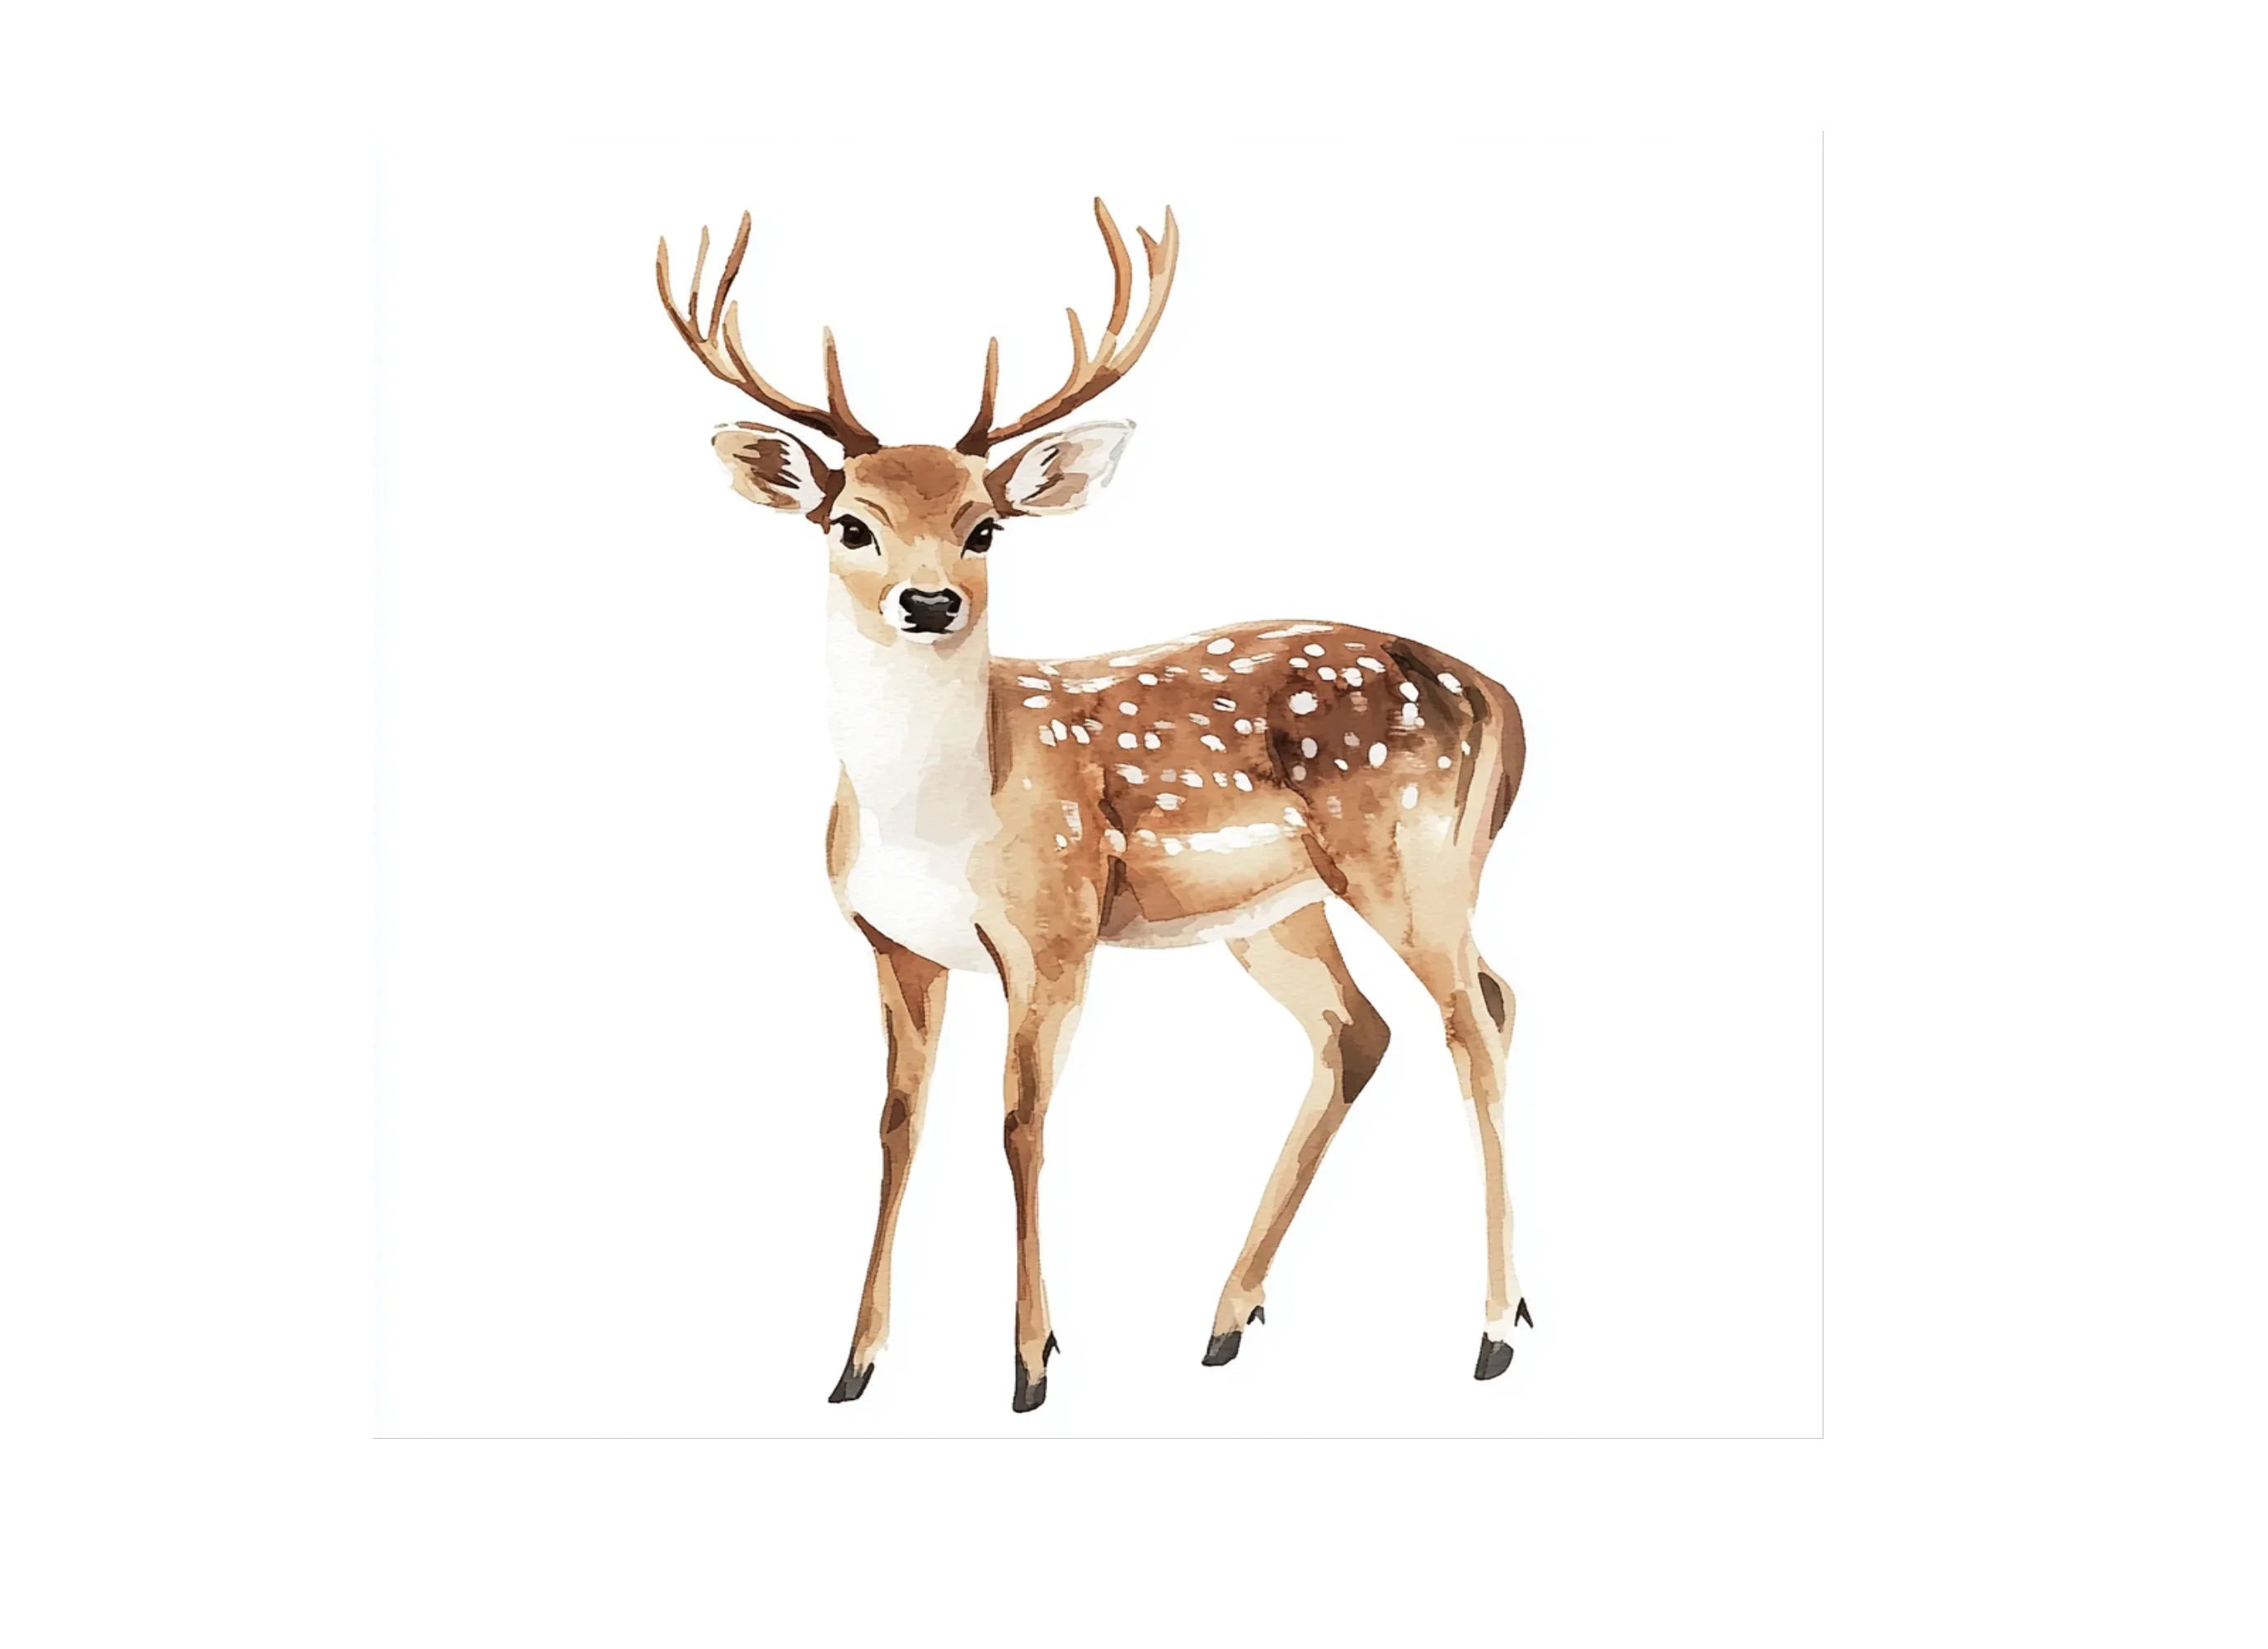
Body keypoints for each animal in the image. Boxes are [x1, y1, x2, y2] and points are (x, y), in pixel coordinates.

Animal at [657, 201, 1529, 1413]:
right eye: (848, 524)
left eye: (985, 527)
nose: (928, 601)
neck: (939, 820)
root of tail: (1499, 697)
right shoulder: (891, 943)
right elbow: (895, 1125)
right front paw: (854, 1363)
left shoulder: (1053, 930)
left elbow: (1019, 1122)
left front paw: (1030, 1364)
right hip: (1274, 912)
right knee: (1361, 1029)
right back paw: (1226, 1319)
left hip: (1414, 859)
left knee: (1477, 1015)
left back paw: (1495, 1329)